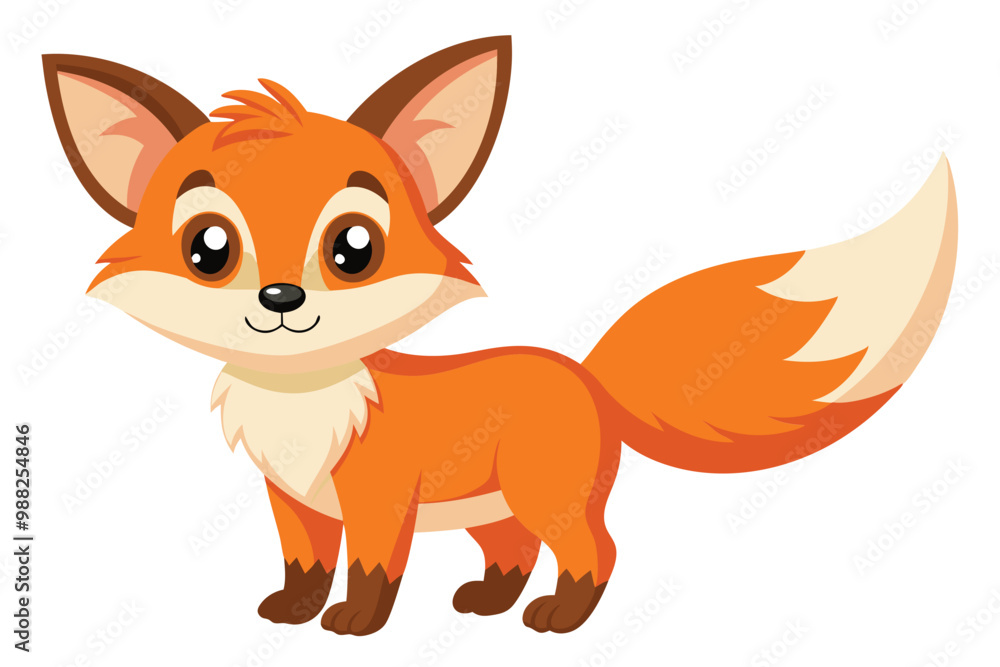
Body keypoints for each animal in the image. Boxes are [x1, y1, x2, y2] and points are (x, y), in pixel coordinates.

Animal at [43, 36, 957, 635]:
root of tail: (585, 375)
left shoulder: (379, 500)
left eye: (352, 248)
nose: (280, 297)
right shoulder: (294, 500)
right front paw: (293, 612)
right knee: (512, 550)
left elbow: (372, 569)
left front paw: (354, 623)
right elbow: (303, 562)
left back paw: (560, 617)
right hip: (495, 506)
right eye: (208, 248)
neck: (305, 403)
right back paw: (489, 602)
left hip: (547, 493)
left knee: (597, 549)